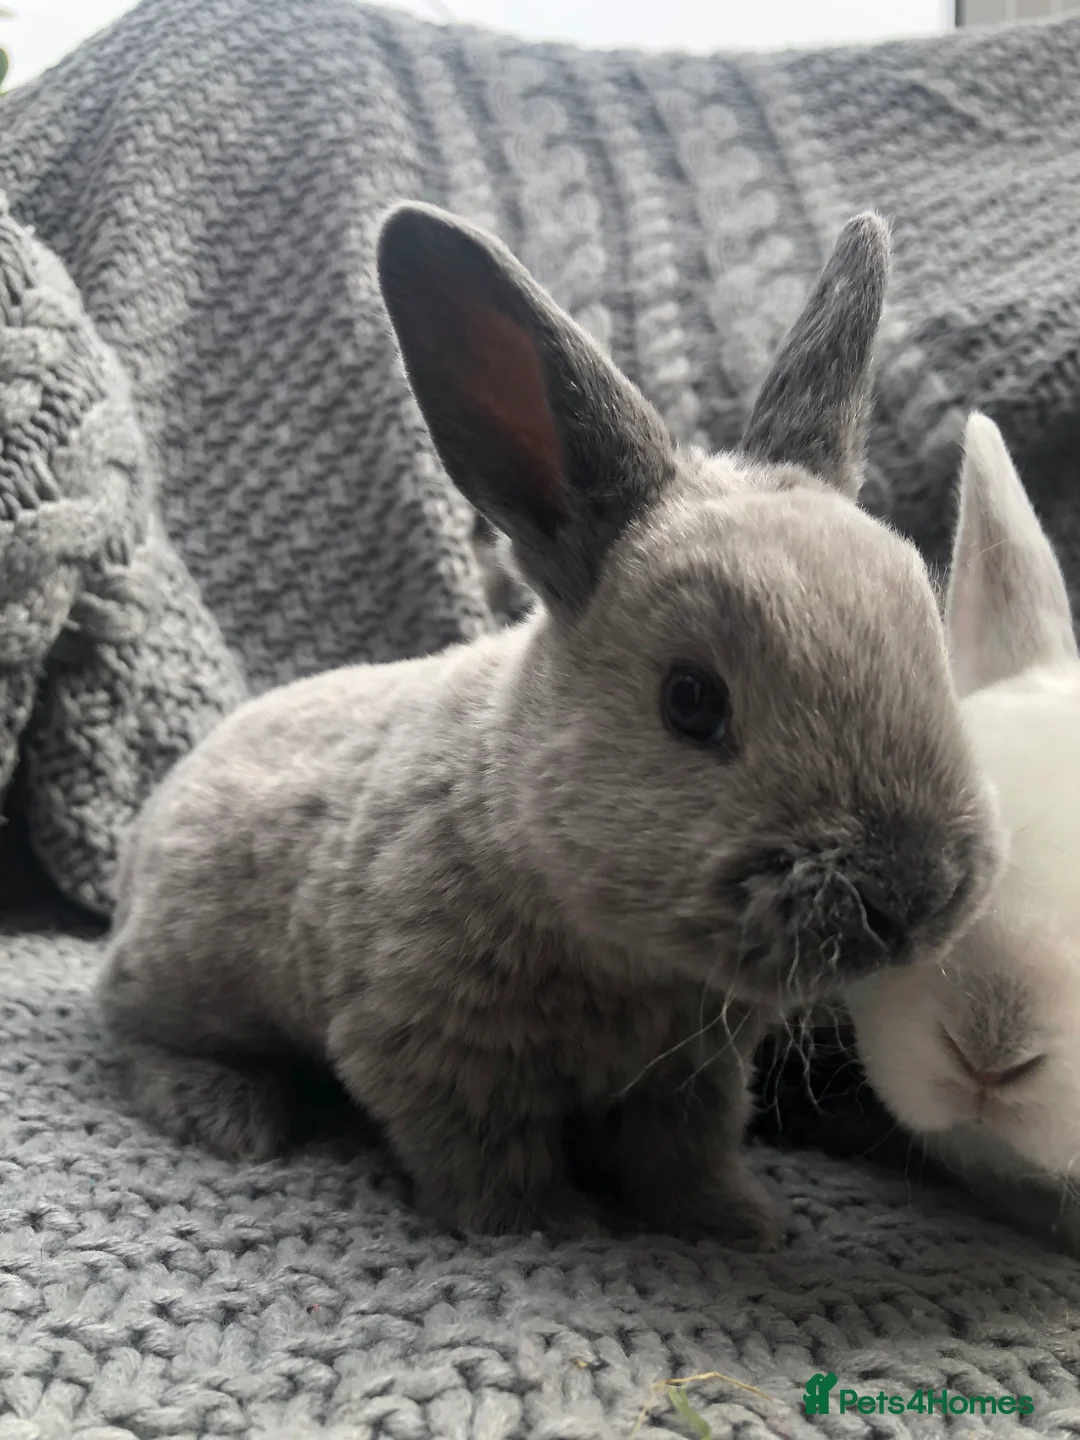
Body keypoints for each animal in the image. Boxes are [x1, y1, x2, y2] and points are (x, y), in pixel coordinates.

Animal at [97, 202, 1003, 1244]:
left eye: (928, 641)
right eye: (690, 700)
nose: (916, 896)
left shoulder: (690, 1075)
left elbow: (683, 1156)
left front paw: (740, 1222)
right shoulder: (431, 1049)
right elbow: (489, 1160)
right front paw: (557, 1231)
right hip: (187, 973)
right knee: (131, 1027)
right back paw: (225, 1113)